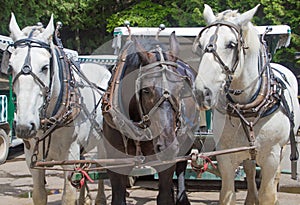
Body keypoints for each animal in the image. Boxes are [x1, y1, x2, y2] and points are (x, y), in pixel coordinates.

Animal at [5, 13, 111, 204]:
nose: (24, 127)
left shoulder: (69, 156)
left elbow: (68, 195)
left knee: (101, 167)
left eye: (45, 67)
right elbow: (39, 194)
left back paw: (99, 198)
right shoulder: (32, 158)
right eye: (10, 67)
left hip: (102, 140)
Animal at [102, 31, 198, 203]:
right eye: (146, 90)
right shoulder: (115, 161)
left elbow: (164, 196)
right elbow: (118, 197)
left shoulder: (167, 162)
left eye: (181, 89)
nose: (168, 146)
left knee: (181, 167)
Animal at [193, 4, 298, 204]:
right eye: (200, 44)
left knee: (275, 176)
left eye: (231, 44)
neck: (249, 107)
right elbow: (227, 194)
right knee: (249, 168)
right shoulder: (226, 156)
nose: (201, 92)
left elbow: (267, 195)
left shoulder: (271, 156)